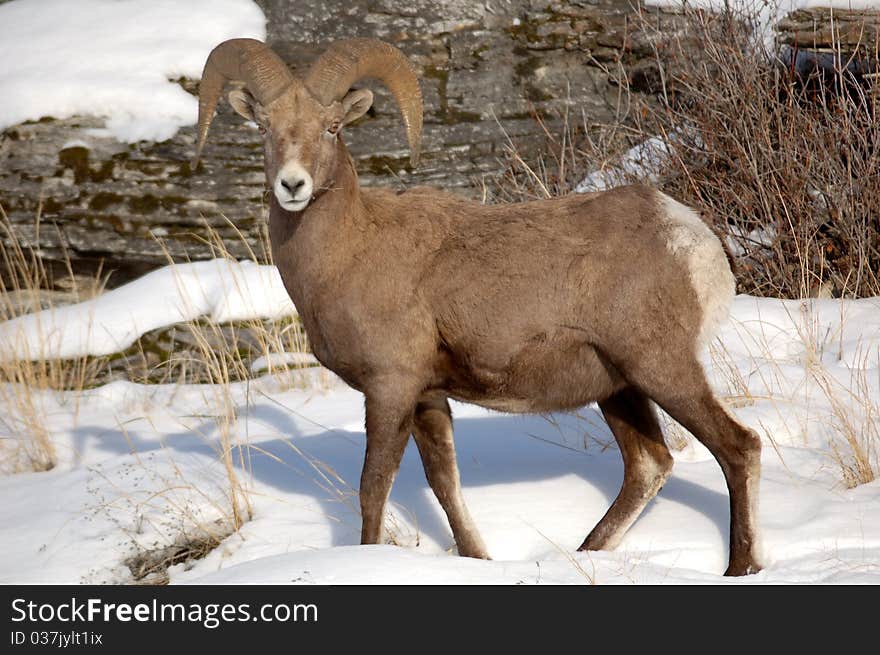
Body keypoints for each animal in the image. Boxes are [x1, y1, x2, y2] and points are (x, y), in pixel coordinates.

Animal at [192, 38, 764, 576]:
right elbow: (445, 484)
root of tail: (693, 236)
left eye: (332, 127)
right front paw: (478, 559)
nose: (292, 185)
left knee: (738, 447)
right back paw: (583, 553)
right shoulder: (428, 398)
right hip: (620, 388)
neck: (351, 252)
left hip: (662, 369)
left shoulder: (390, 389)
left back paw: (740, 567)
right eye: (264, 128)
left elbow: (373, 487)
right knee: (649, 465)